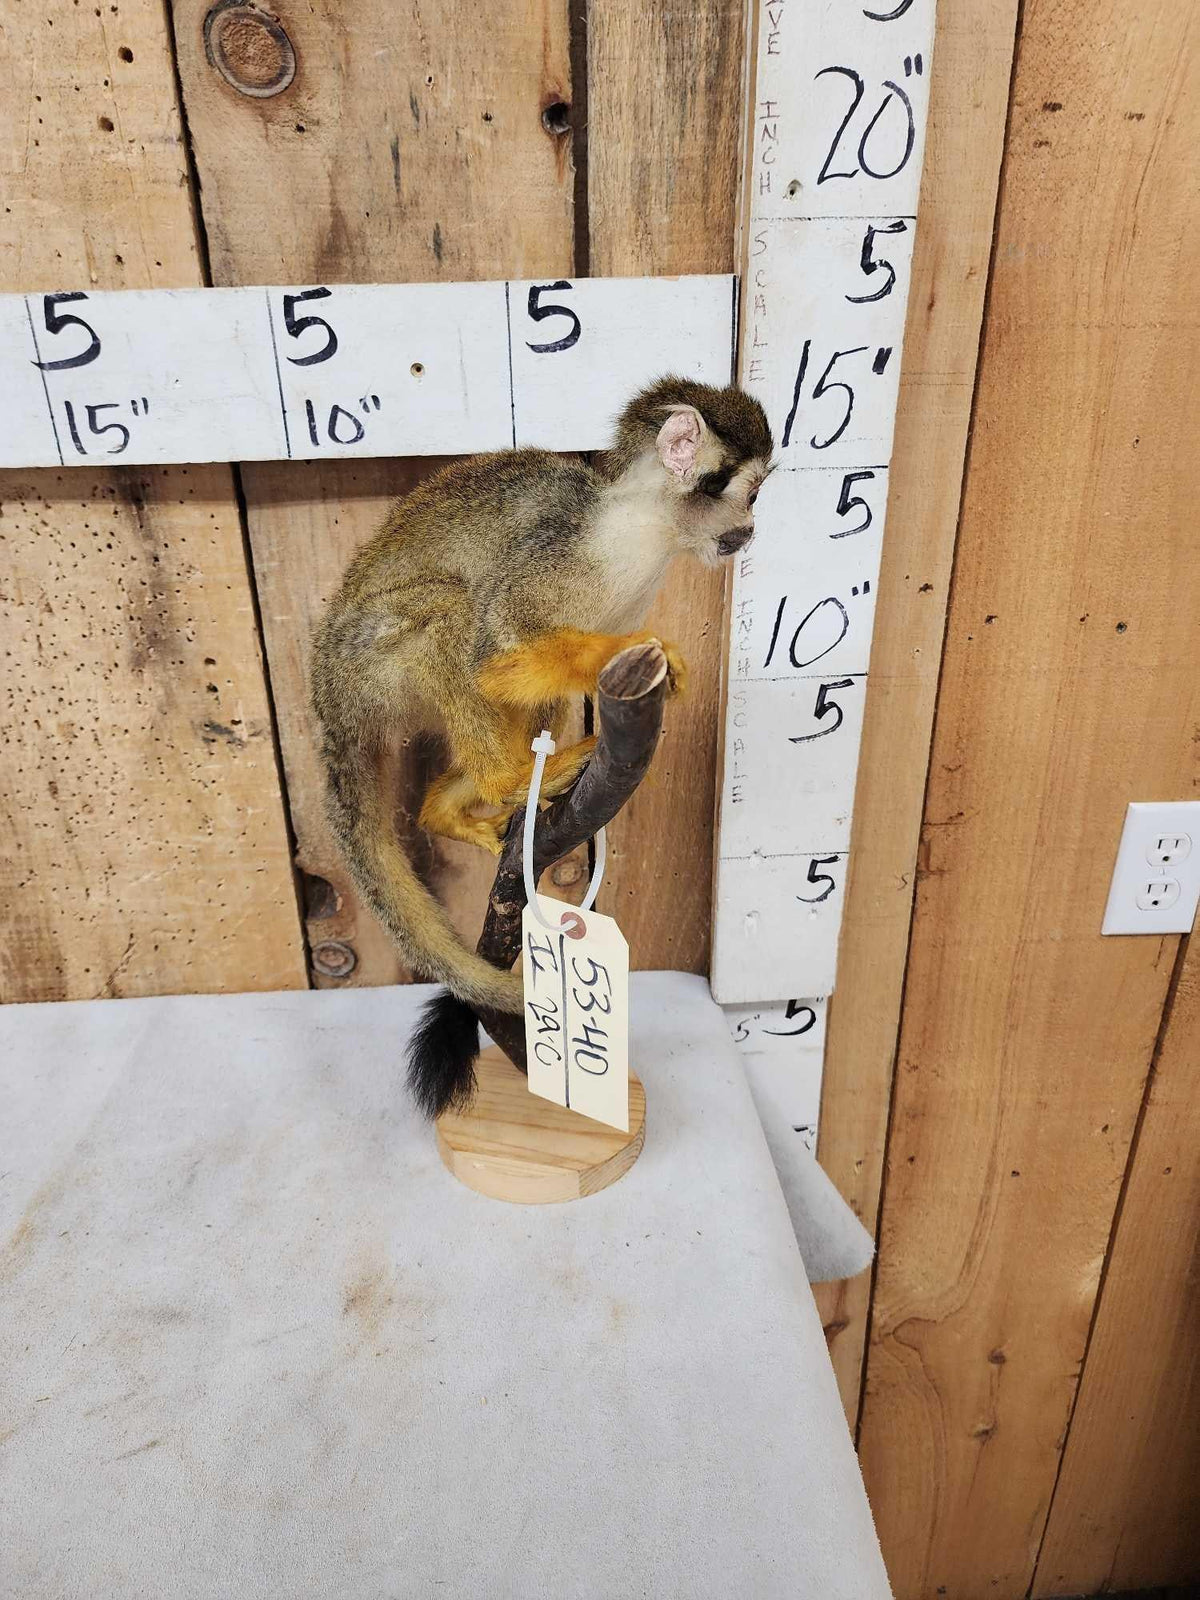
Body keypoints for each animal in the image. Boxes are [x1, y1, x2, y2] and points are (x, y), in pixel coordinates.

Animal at [309, 376, 773, 1118]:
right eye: (751, 493)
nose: (750, 532)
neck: (642, 530)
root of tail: (325, 693)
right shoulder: (556, 554)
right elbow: (497, 652)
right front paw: (630, 654)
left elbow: (523, 677)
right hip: (366, 664)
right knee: (452, 613)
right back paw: (505, 782)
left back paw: (456, 807)